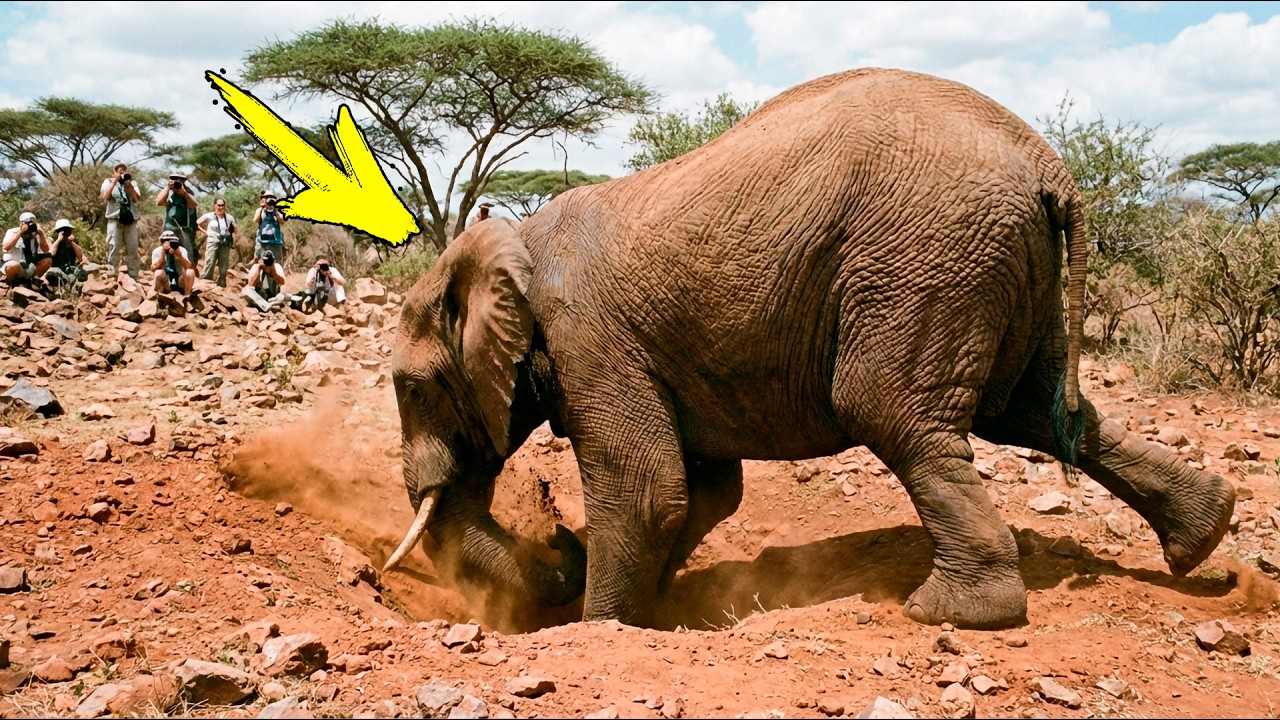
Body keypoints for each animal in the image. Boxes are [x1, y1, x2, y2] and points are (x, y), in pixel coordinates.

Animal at [384, 67, 1236, 630]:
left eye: (411, 389)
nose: (560, 545)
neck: (507, 243)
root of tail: (1047, 163)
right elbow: (705, 489)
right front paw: (646, 607)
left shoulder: (591, 338)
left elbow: (648, 487)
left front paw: (603, 629)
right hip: (1001, 267)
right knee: (1041, 412)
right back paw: (1203, 538)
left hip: (925, 261)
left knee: (895, 413)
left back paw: (952, 613)